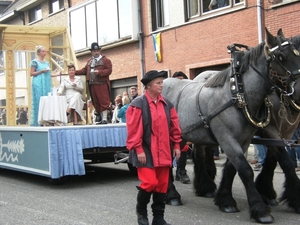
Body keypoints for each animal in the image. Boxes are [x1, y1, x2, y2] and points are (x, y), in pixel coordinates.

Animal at [163, 28, 300, 223]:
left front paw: (226, 200)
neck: (237, 95)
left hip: (184, 136)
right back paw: (173, 195)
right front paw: (260, 209)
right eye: (281, 56)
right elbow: (246, 170)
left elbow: (233, 168)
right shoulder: (228, 138)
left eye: (297, 53)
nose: (298, 89)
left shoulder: (246, 140)